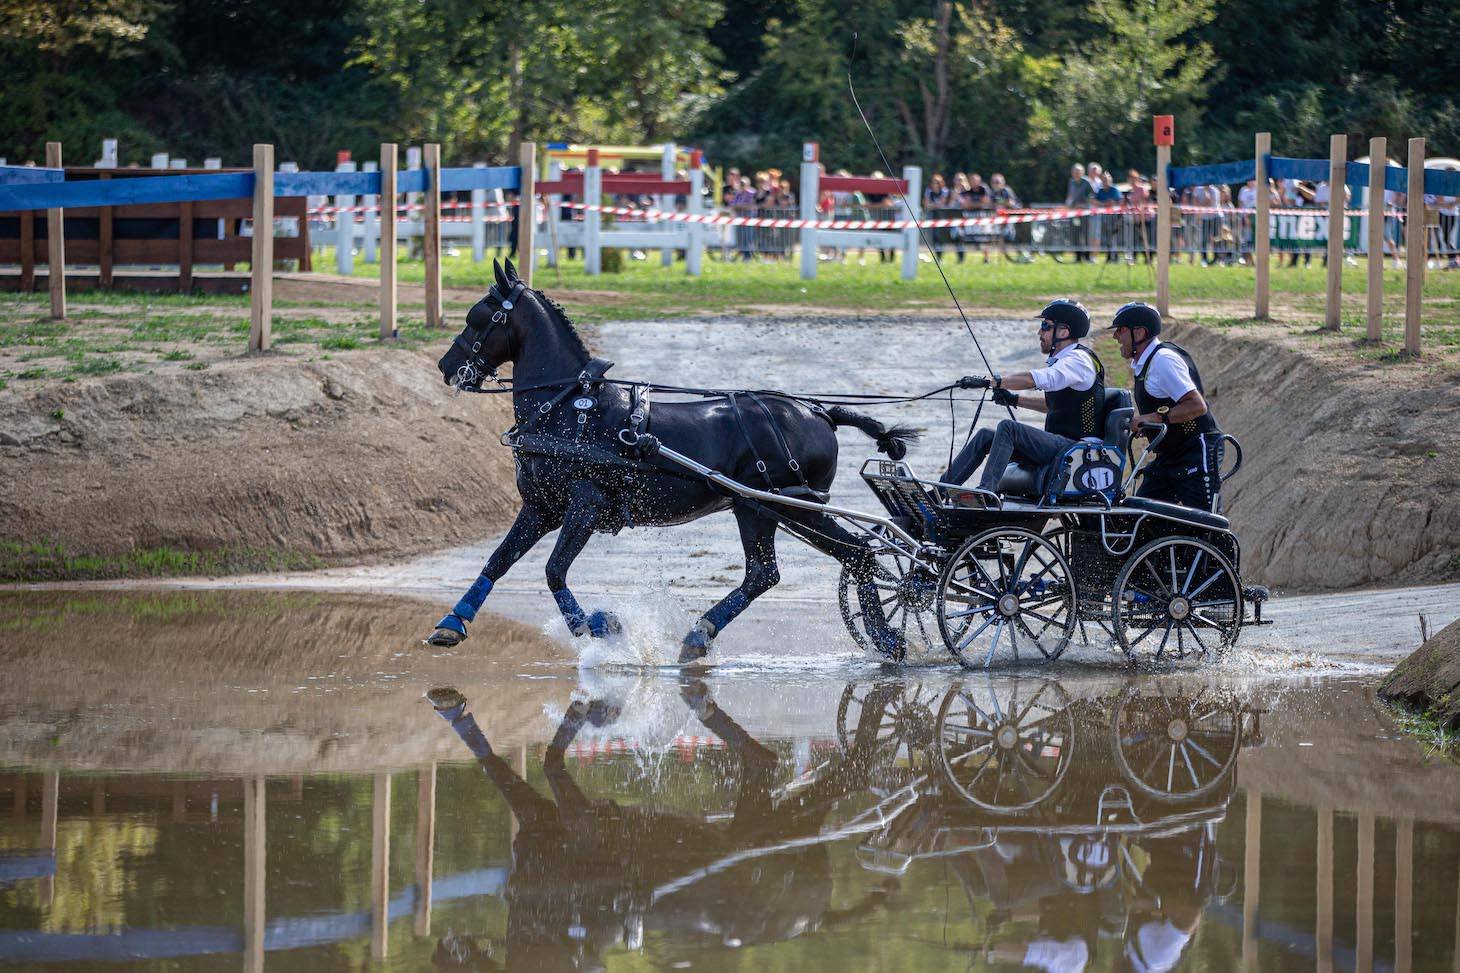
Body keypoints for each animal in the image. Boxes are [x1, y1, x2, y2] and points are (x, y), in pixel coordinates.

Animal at [426, 261, 916, 663]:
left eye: (478, 317)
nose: (446, 366)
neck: (569, 408)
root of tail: (818, 411)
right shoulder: (541, 507)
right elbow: (498, 561)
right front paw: (452, 624)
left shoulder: (584, 505)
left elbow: (553, 571)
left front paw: (598, 625)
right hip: (767, 509)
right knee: (796, 568)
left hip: (782, 506)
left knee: (845, 558)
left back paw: (884, 636)